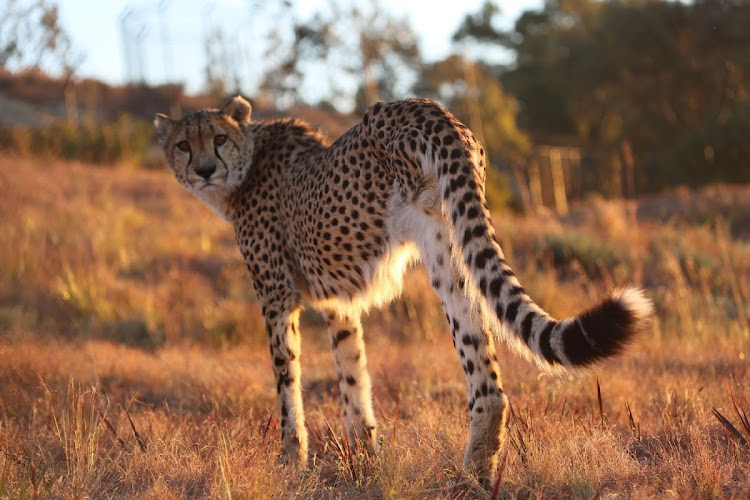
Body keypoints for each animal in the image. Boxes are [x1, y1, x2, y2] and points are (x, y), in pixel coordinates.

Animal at [153, 96, 652, 484]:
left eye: (219, 138)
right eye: (183, 144)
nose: (205, 169)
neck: (248, 164)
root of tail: (424, 108)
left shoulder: (276, 299)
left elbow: (287, 385)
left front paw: (290, 462)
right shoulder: (339, 304)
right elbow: (353, 376)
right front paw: (365, 459)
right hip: (452, 249)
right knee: (487, 381)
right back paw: (473, 476)